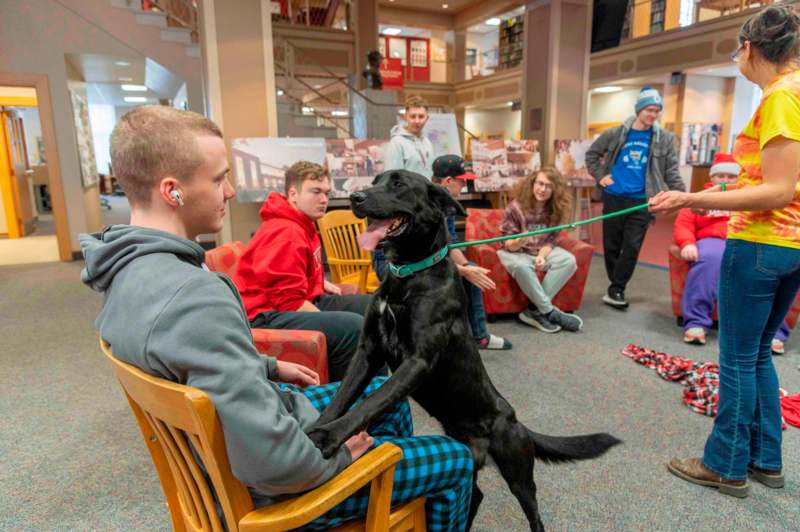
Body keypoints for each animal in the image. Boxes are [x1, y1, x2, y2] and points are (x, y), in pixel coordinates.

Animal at [310, 169, 620, 528]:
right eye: (375, 180)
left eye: (398, 184)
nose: (356, 198)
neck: (410, 274)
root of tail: (516, 420)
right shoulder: (368, 352)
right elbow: (343, 397)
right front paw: (314, 428)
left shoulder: (416, 361)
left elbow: (370, 402)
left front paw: (327, 438)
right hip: (469, 460)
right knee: (476, 495)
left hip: (518, 471)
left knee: (533, 513)